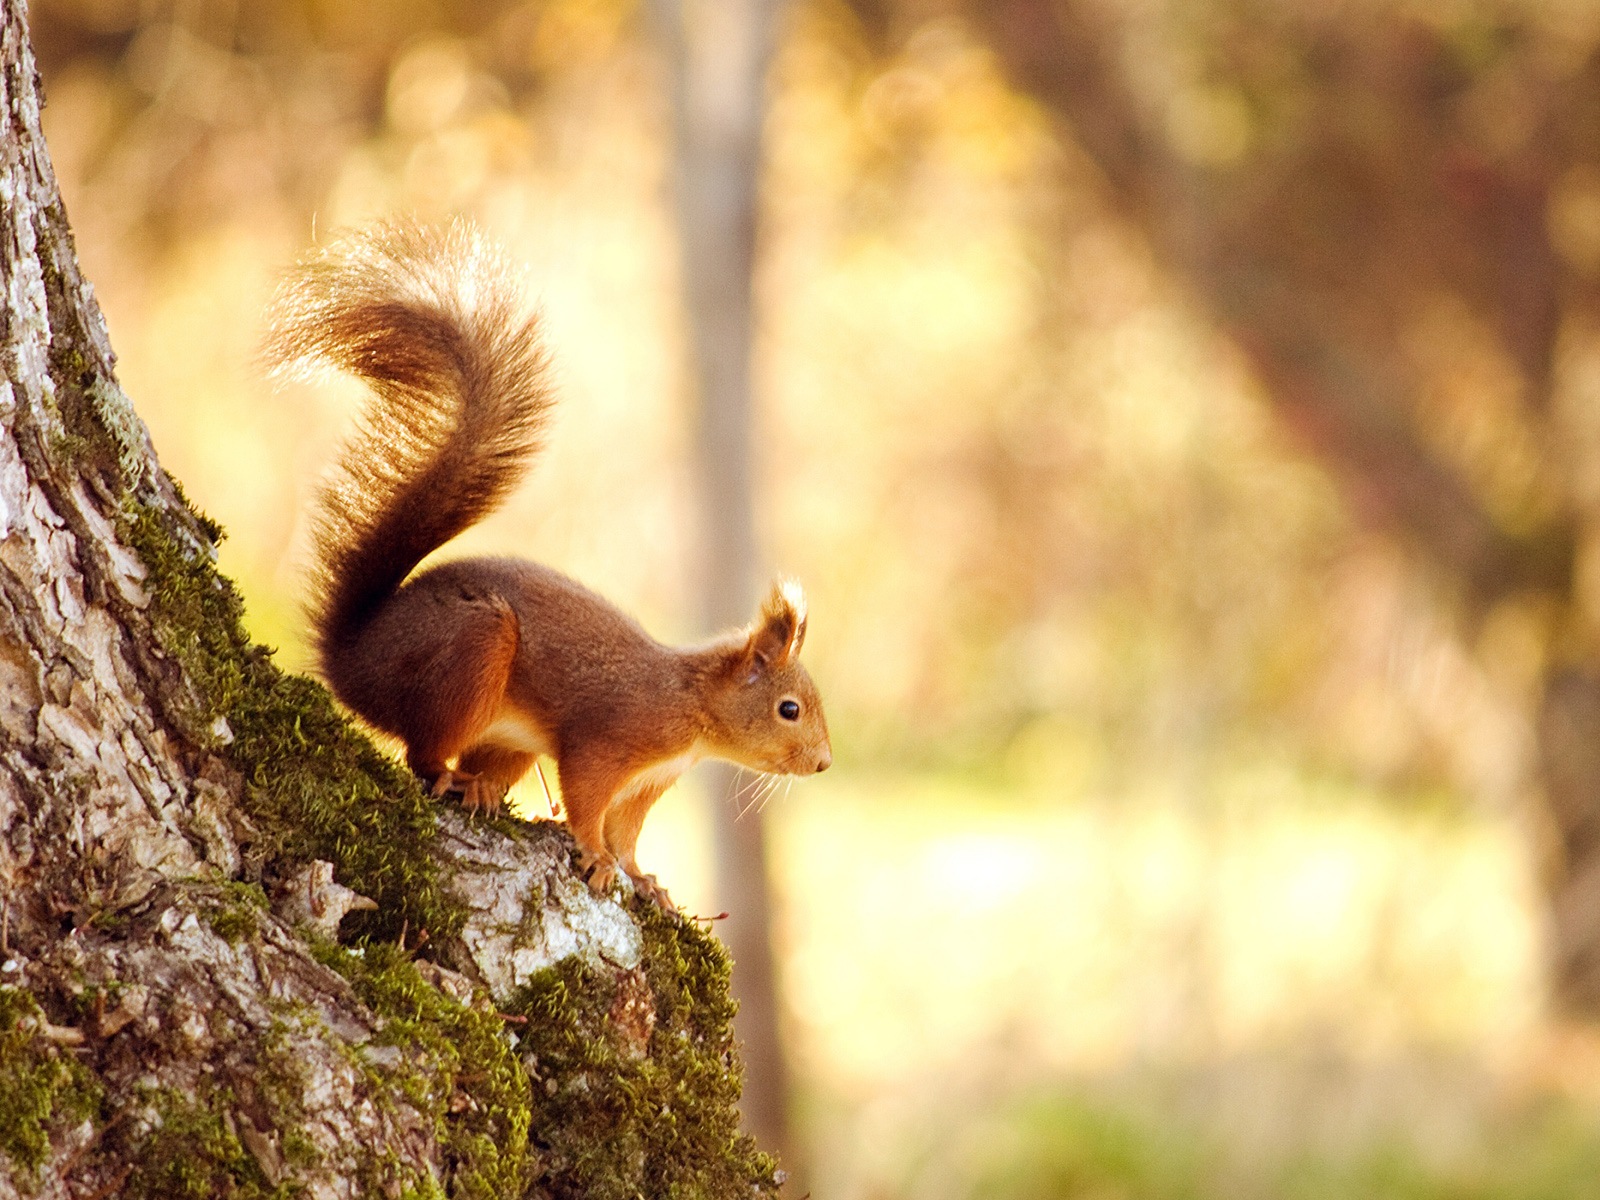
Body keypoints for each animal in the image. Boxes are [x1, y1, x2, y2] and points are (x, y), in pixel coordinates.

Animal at [267, 219, 832, 908]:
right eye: (789, 709)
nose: (823, 763)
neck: (692, 708)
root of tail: (350, 658)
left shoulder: (650, 781)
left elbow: (627, 830)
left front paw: (644, 878)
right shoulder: (611, 739)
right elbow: (587, 800)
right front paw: (596, 857)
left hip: (506, 733)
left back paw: (483, 785)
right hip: (472, 652)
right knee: (422, 755)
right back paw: (456, 779)